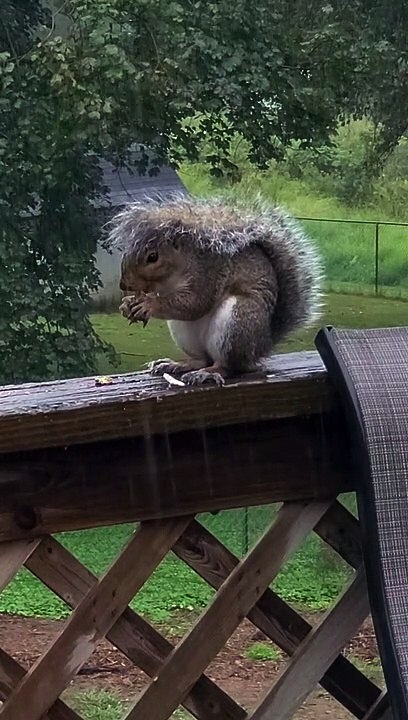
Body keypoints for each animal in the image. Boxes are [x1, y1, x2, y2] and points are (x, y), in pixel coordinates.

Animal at [107, 194, 323, 386]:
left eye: (153, 257)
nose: (124, 285)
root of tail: (263, 345)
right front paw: (127, 305)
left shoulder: (208, 272)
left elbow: (196, 303)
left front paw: (148, 304)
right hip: (183, 332)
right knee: (201, 359)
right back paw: (176, 365)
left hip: (238, 321)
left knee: (227, 366)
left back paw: (207, 373)